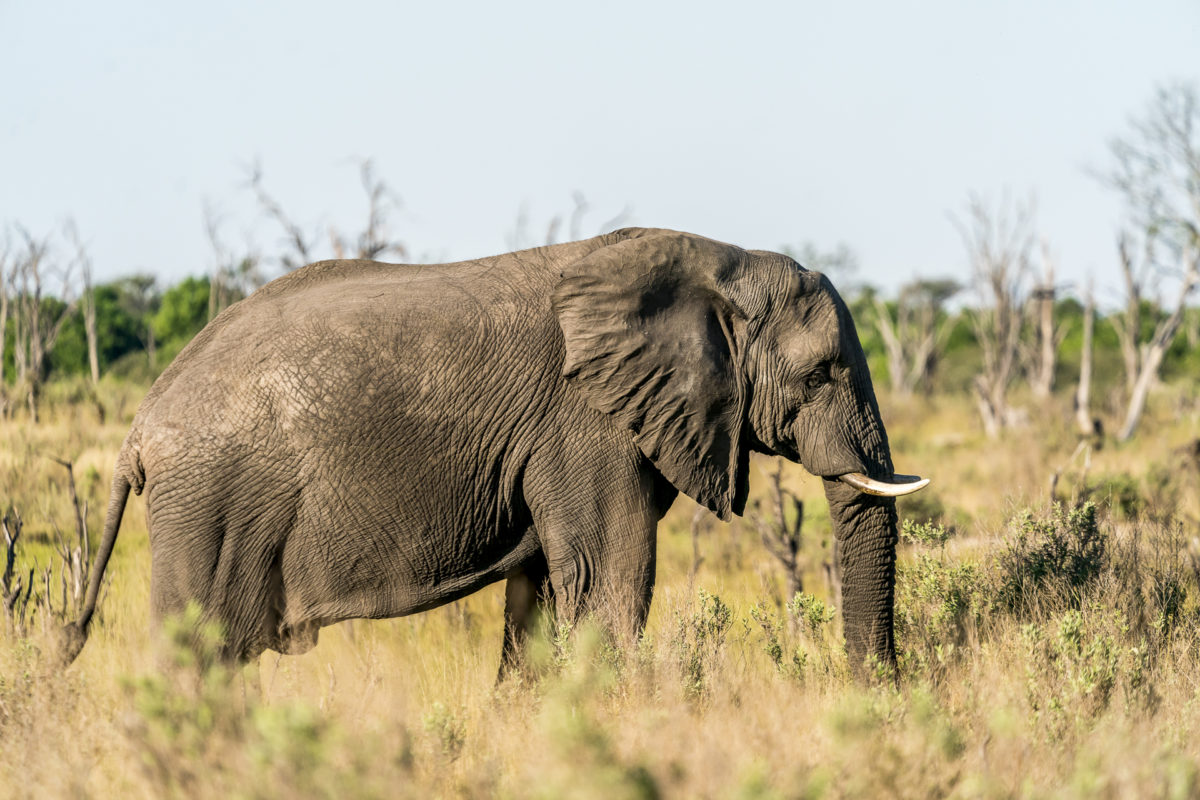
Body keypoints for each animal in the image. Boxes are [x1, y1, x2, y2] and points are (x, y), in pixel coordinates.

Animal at [60, 225, 926, 676]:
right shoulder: (585, 423)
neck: (717, 260)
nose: (873, 692)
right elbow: (610, 578)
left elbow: (542, 590)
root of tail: (138, 428)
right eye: (823, 372)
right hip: (207, 503)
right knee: (196, 656)